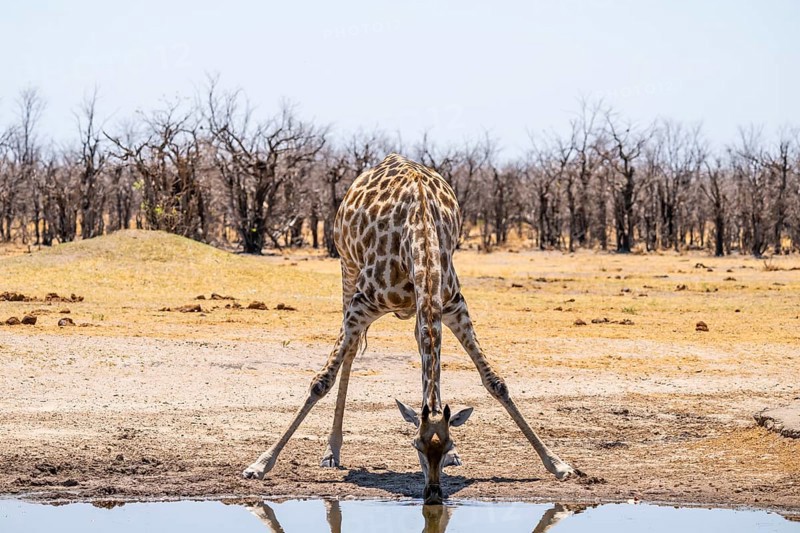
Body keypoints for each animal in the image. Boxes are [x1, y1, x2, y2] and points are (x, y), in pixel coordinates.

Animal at [242, 153, 577, 503]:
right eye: (415, 446)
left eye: (447, 444)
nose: (433, 494)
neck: (418, 231)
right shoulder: (362, 304)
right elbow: (321, 381)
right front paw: (260, 464)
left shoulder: (452, 304)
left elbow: (495, 382)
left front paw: (558, 464)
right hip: (347, 270)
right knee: (349, 354)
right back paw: (331, 452)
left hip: (419, 309)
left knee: (421, 347)